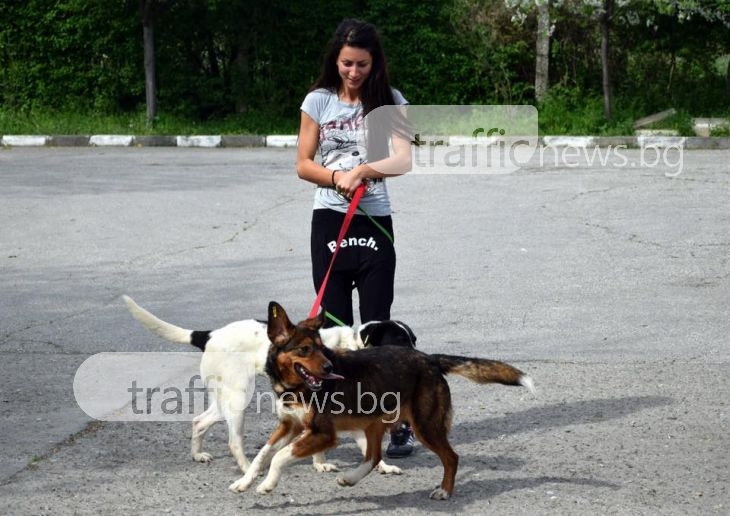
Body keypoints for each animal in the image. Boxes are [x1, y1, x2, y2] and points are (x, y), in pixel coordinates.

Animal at [122, 294, 412, 476]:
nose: (420, 357)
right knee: (233, 441)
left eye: (413, 339)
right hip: (239, 398)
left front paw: (379, 467)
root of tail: (211, 335)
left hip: (223, 400)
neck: (352, 348)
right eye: (401, 341)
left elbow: (364, 446)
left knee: (199, 421)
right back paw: (248, 468)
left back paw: (198, 455)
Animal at [230, 302, 532, 500]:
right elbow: (262, 454)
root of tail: (429, 359)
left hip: (425, 426)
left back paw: (444, 491)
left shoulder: (323, 434)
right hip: (374, 423)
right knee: (374, 456)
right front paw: (244, 481)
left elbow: (280, 456)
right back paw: (351, 478)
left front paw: (268, 484)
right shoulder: (288, 426)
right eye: (305, 349)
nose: (329, 368)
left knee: (451, 457)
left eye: (321, 348)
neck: (296, 388)